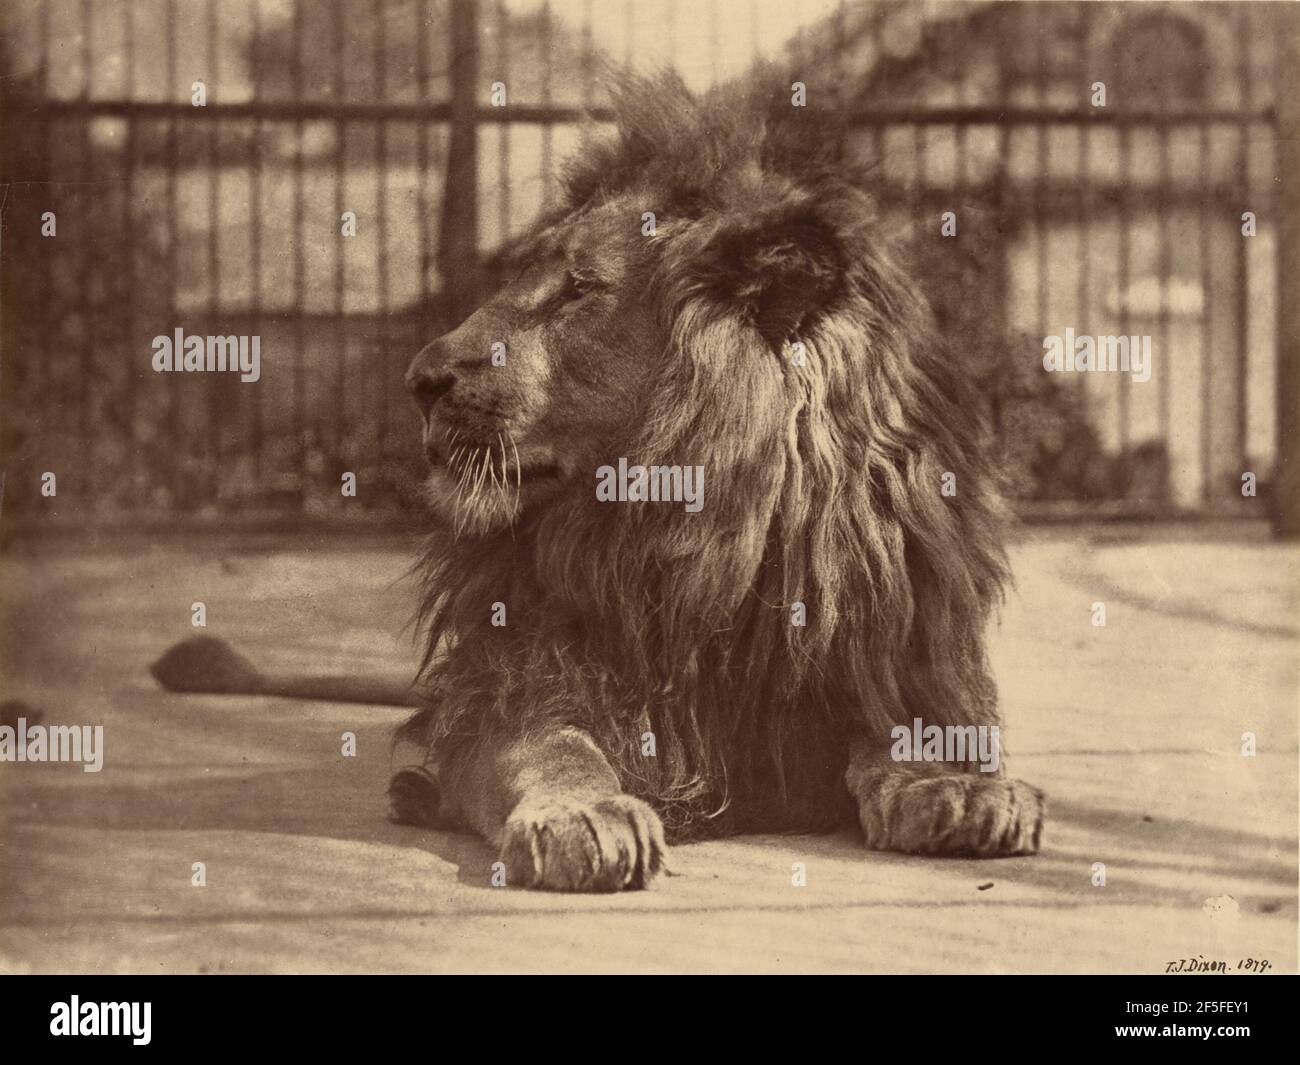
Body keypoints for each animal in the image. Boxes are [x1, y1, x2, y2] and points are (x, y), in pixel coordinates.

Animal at [381, 72, 1045, 892]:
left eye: (578, 290)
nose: (421, 379)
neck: (706, 539)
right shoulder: (510, 678)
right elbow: (551, 748)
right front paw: (582, 816)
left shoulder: (888, 656)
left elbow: (905, 730)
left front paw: (953, 787)